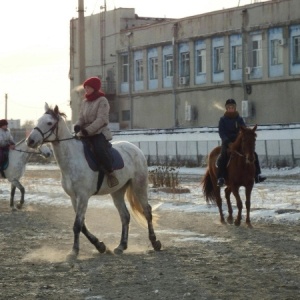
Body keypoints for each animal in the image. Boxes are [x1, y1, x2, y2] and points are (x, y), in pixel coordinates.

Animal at [26, 103, 162, 258]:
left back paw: (155, 242)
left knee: (147, 212)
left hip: (139, 186)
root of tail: (135, 149)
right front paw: (100, 246)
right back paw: (121, 246)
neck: (72, 159)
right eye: (38, 121)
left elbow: (77, 225)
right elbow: (82, 225)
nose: (30, 141)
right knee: (125, 216)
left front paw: (74, 251)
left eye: (49, 123)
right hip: (117, 192)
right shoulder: (74, 198)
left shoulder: (83, 196)